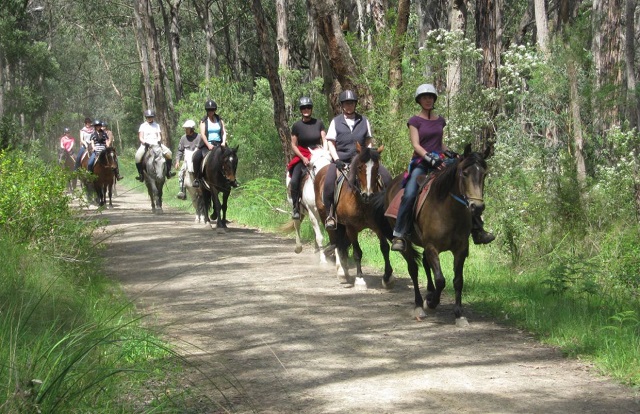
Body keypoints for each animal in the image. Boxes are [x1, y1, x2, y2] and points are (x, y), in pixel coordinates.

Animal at [314, 142, 392, 288]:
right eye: (360, 167)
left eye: (376, 167)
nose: (367, 195)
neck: (362, 202)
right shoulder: (351, 228)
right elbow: (357, 253)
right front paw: (360, 278)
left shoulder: (378, 226)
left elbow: (384, 248)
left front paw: (388, 277)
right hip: (330, 221)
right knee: (337, 243)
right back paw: (341, 272)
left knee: (341, 245)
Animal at [380, 144, 490, 322]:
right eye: (464, 173)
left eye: (484, 174)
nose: (477, 207)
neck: (448, 210)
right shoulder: (432, 247)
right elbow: (440, 280)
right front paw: (431, 303)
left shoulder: (461, 248)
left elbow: (458, 280)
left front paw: (459, 313)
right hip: (407, 244)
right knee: (413, 269)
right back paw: (419, 304)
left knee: (425, 263)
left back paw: (429, 293)